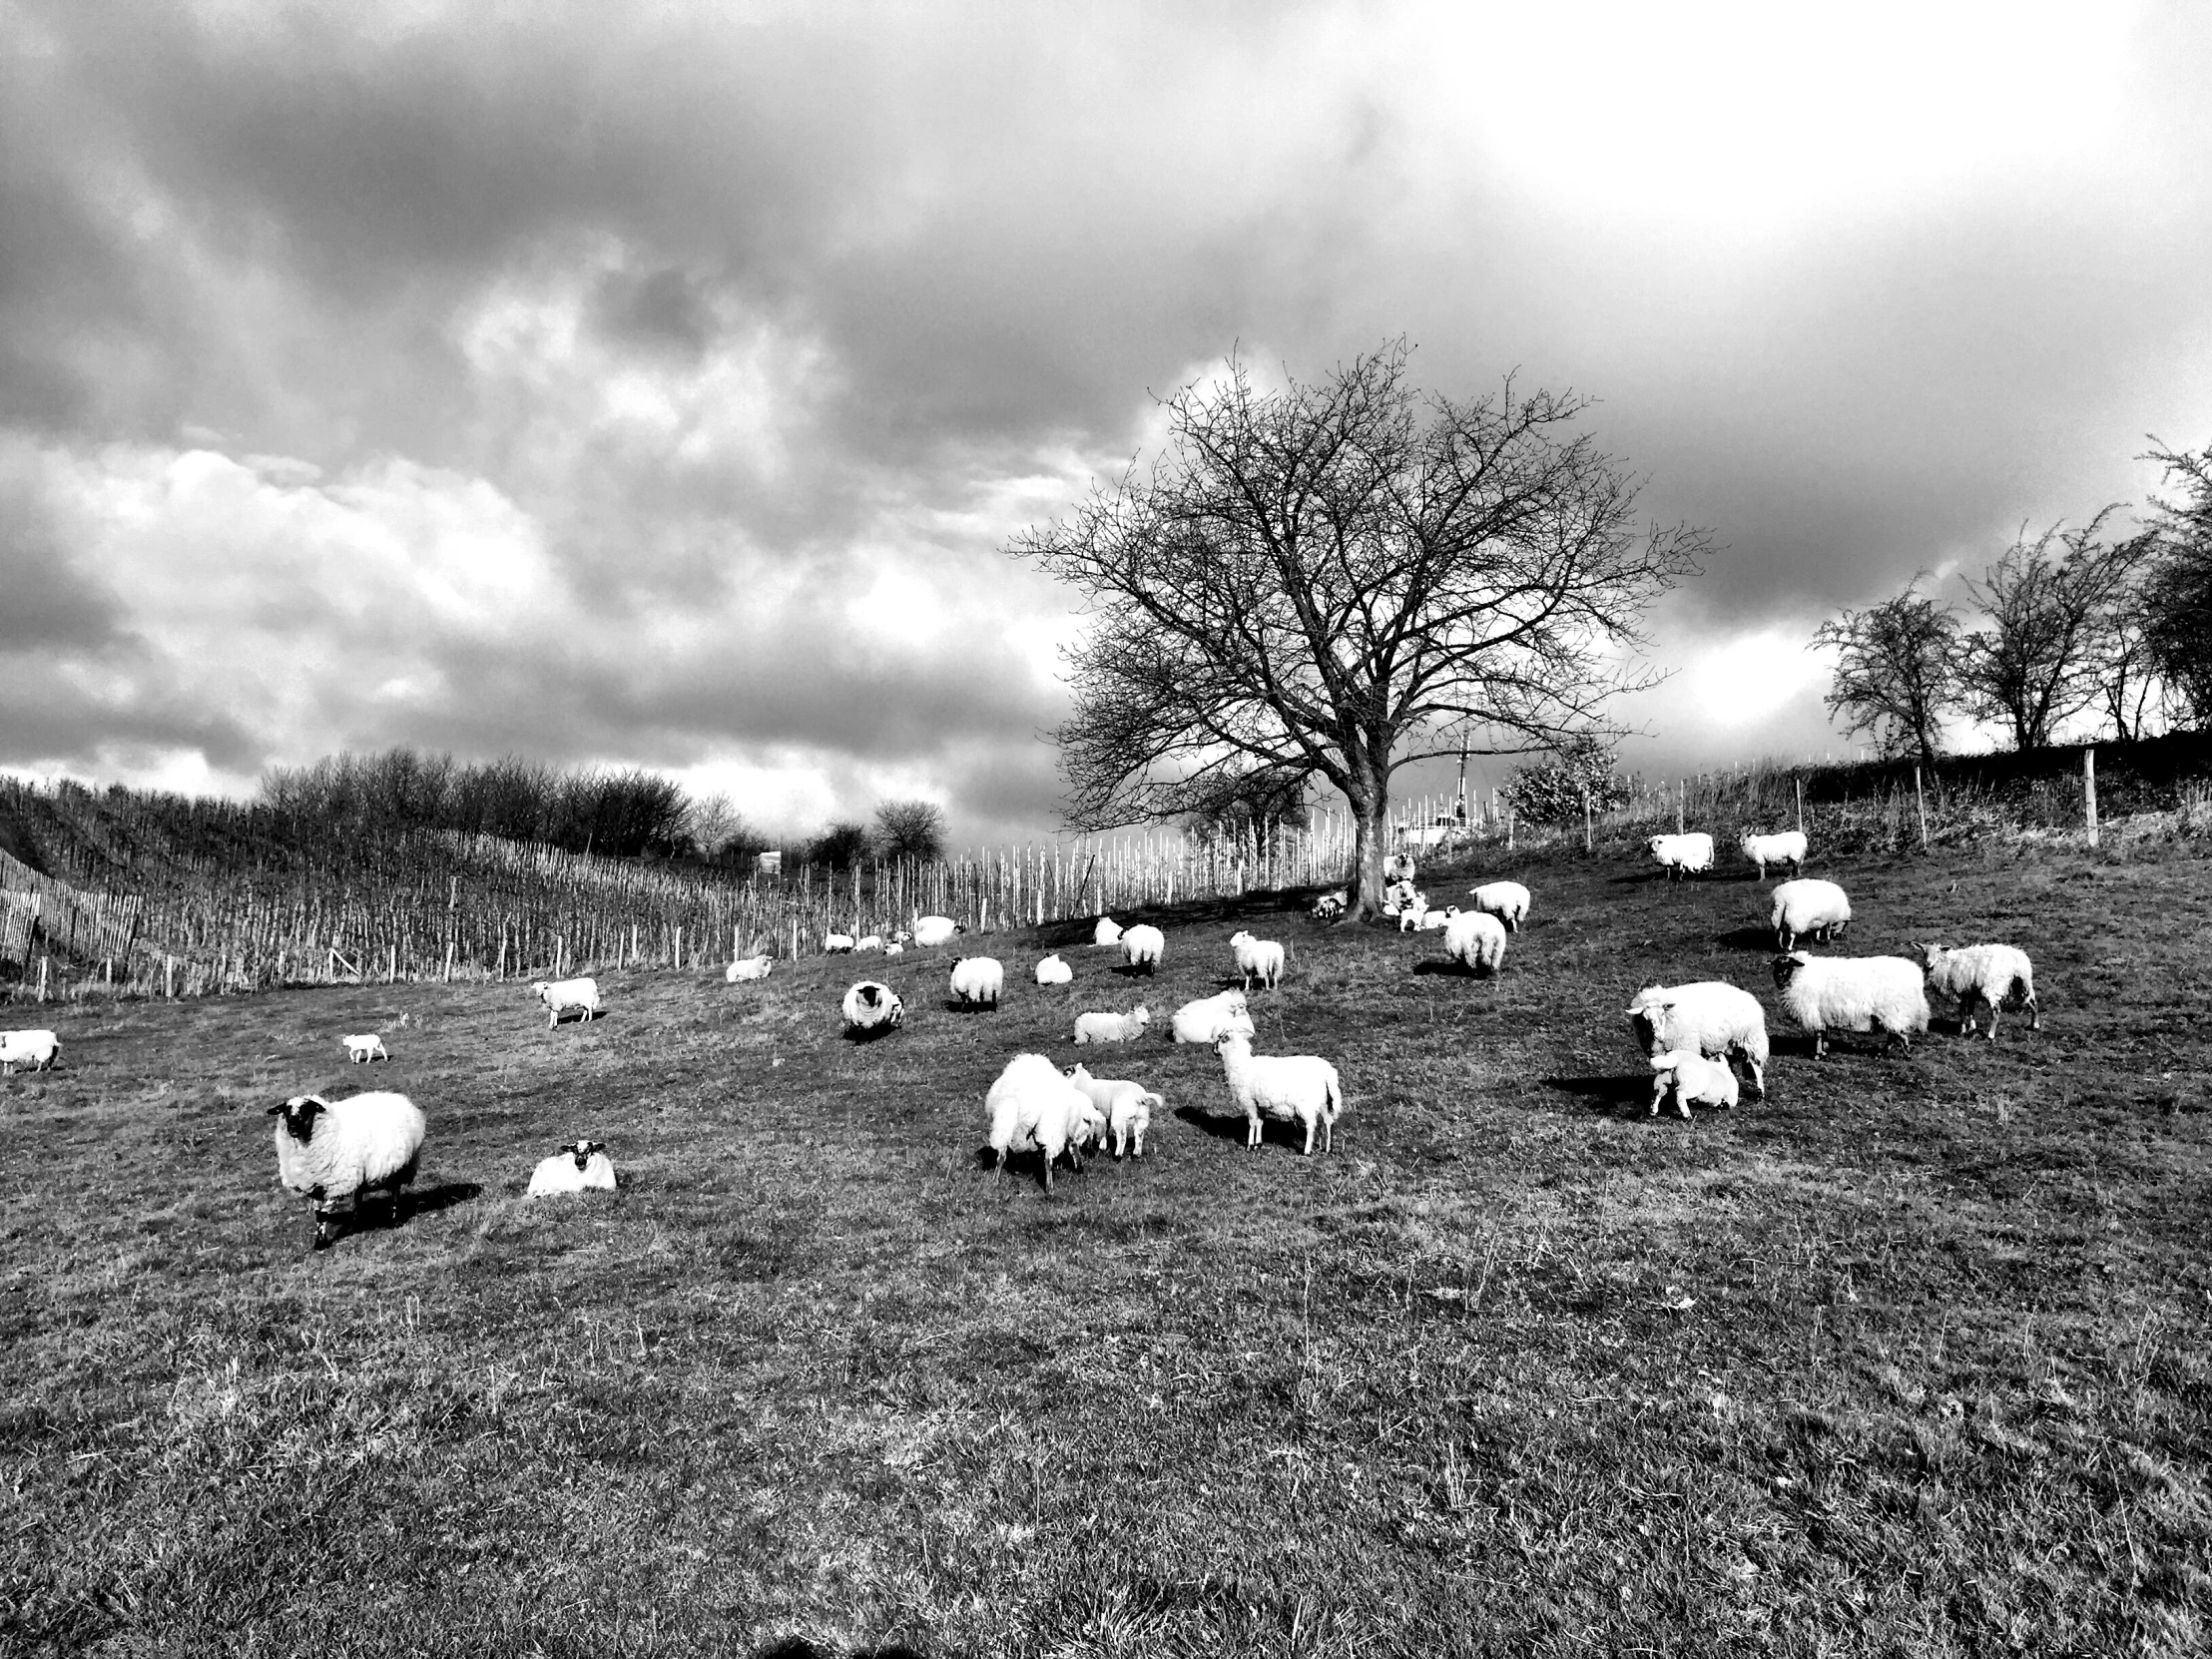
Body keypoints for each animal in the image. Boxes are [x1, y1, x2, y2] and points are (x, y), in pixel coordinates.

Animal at [265, 1092, 424, 1247]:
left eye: (306, 1109)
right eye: (286, 1110)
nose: (292, 1128)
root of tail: (401, 1098)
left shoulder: (337, 1184)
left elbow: (323, 1214)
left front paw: (321, 1243)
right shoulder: (316, 1184)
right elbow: (317, 1213)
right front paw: (320, 1238)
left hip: (402, 1167)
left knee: (395, 1192)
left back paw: (393, 1219)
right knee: (359, 1197)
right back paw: (354, 1223)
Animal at [1627, 986, 1778, 1106]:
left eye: (1662, 1013)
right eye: (1645, 1018)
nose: (1659, 1036)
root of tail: (1749, 997)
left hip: (1751, 1039)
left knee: (1757, 1069)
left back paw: (1760, 1094)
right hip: (1730, 1044)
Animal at [1769, 955, 1929, 1057]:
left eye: (1789, 965)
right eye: (1776, 965)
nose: (1779, 977)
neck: (1798, 975)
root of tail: (1917, 975)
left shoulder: (1814, 1013)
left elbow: (1819, 1034)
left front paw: (1819, 1054)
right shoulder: (1823, 1014)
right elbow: (1824, 1033)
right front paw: (1825, 1050)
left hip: (1892, 1010)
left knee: (1899, 1034)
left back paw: (1905, 1054)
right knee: (1894, 1034)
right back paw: (1882, 1054)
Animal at [1911, 946, 2043, 1039]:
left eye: (1938, 951)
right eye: (1923, 951)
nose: (1928, 963)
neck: (1945, 964)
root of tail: (2019, 961)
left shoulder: (1960, 991)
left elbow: (1962, 1012)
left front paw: (1963, 1030)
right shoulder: (1970, 993)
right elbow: (1970, 1010)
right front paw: (1971, 1028)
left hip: (1993, 987)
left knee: (1996, 1011)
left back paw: (1990, 1035)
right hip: (2021, 985)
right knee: (2033, 1003)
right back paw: (2035, 1025)